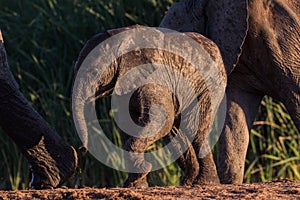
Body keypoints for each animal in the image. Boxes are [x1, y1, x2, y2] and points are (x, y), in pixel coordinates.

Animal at [72, 25, 227, 188]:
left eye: (94, 72)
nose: (82, 149)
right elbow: (129, 124)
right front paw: (135, 184)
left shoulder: (155, 77)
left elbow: (162, 119)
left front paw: (141, 174)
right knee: (176, 133)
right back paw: (187, 182)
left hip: (209, 85)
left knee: (194, 129)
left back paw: (204, 183)